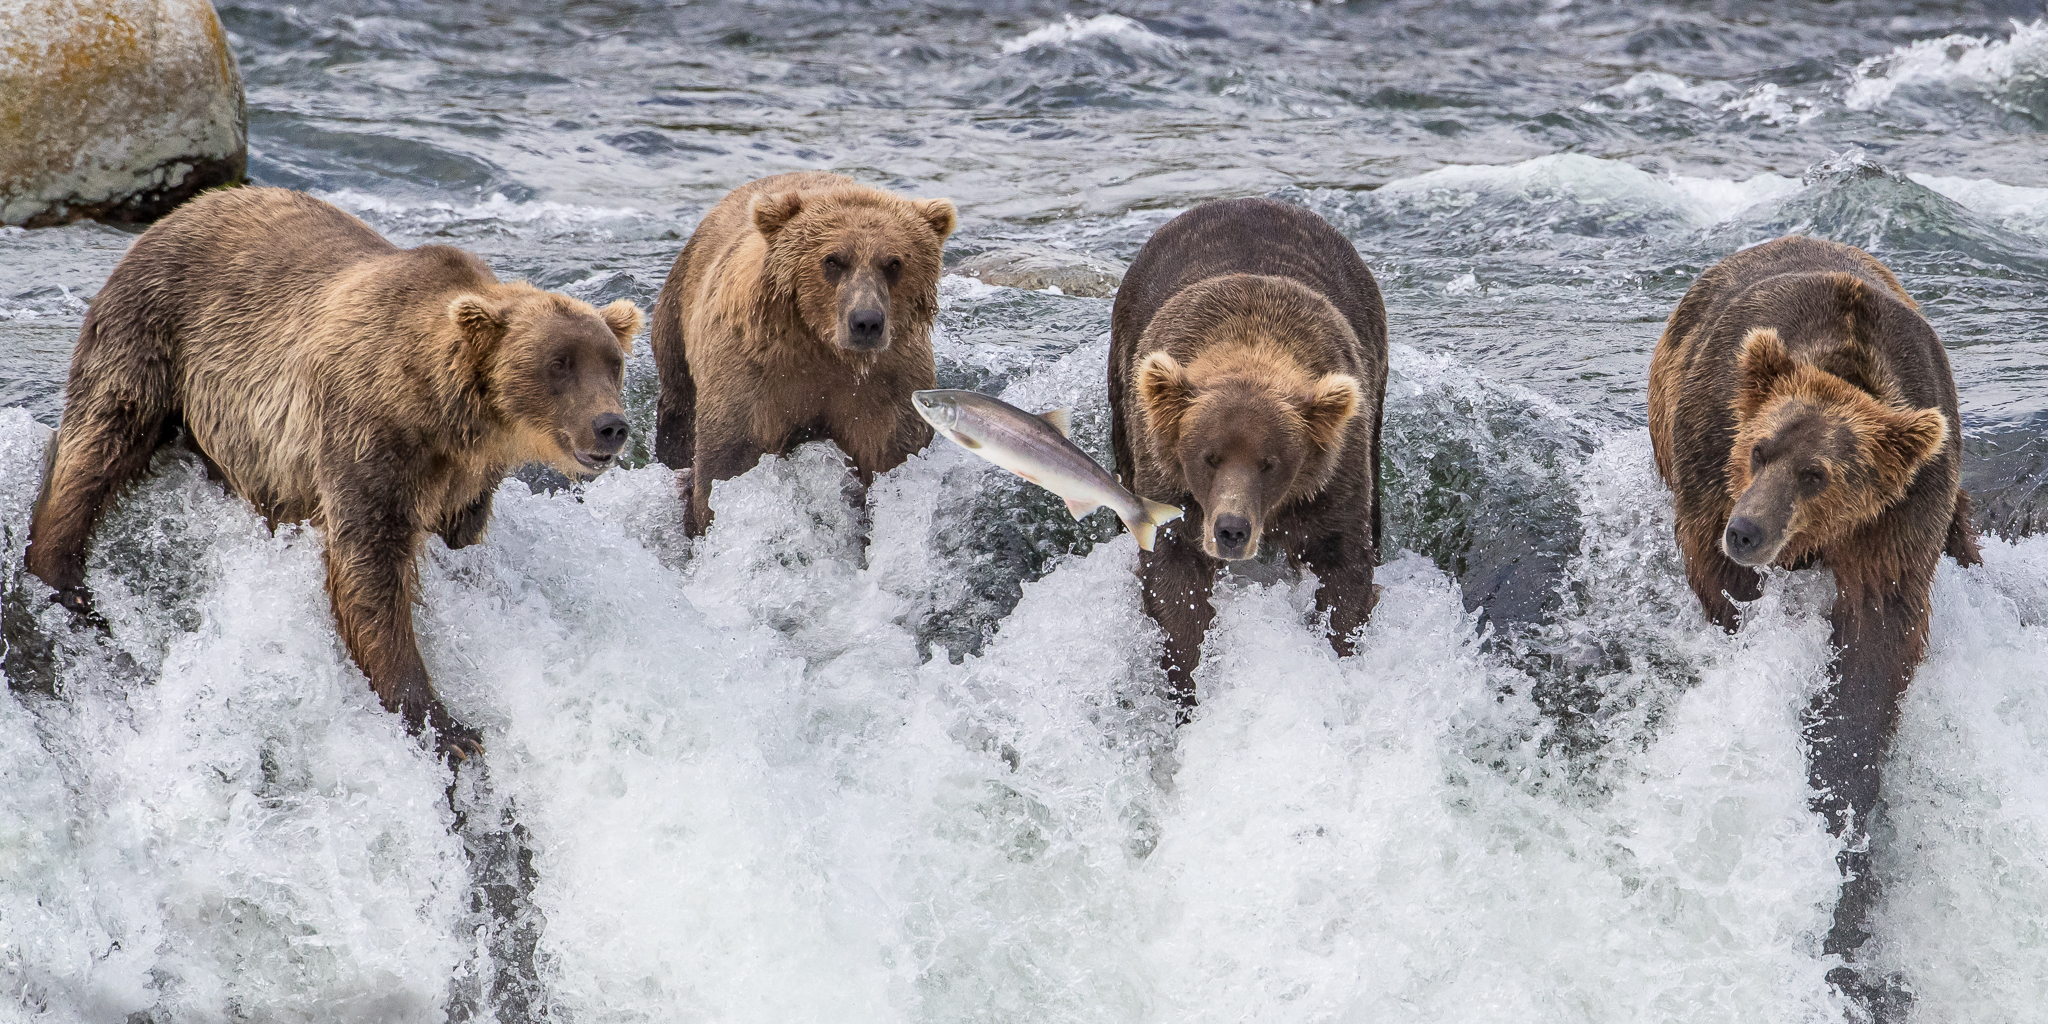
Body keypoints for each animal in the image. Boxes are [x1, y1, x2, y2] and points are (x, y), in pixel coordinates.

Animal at [25, 187, 642, 760]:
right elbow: (367, 570)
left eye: (612, 363)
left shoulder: (465, 478)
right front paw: (446, 726)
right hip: (153, 333)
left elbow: (456, 536)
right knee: (102, 440)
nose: (611, 425)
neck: (448, 416)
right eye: (558, 364)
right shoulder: (368, 434)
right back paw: (65, 581)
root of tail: (179, 212)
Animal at [649, 172, 956, 535]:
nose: (866, 321)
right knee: (679, 413)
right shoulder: (752, 375)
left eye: (894, 263)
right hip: (677, 322)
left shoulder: (886, 389)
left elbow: (891, 459)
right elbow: (728, 463)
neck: (822, 348)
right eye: (833, 260)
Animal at [1109, 197, 1389, 710]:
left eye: (1270, 463)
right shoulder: (1170, 483)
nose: (1232, 530)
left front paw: (1339, 654)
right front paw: (1188, 678)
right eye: (1208, 456)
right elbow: (1175, 576)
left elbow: (1343, 566)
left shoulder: (1331, 479)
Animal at [1649, 234, 1980, 979]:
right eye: (1759, 448)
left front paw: (1845, 751)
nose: (1747, 531)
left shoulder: (1897, 516)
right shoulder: (1712, 447)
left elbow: (1879, 638)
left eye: (1816, 473)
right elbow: (1721, 581)